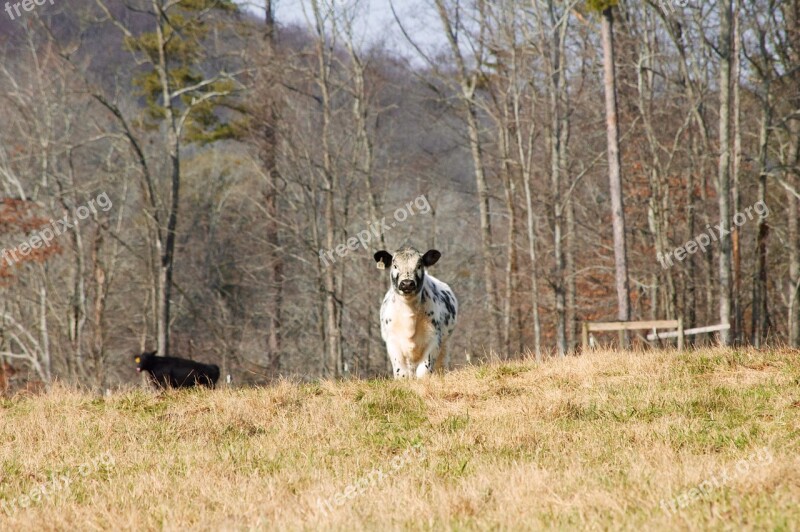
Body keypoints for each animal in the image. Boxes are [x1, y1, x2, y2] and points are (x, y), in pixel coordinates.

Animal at [374, 246, 456, 378]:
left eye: (419, 265)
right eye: (395, 265)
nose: (407, 283)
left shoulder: (434, 339)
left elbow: (423, 372)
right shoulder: (392, 341)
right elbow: (401, 373)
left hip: (445, 344)